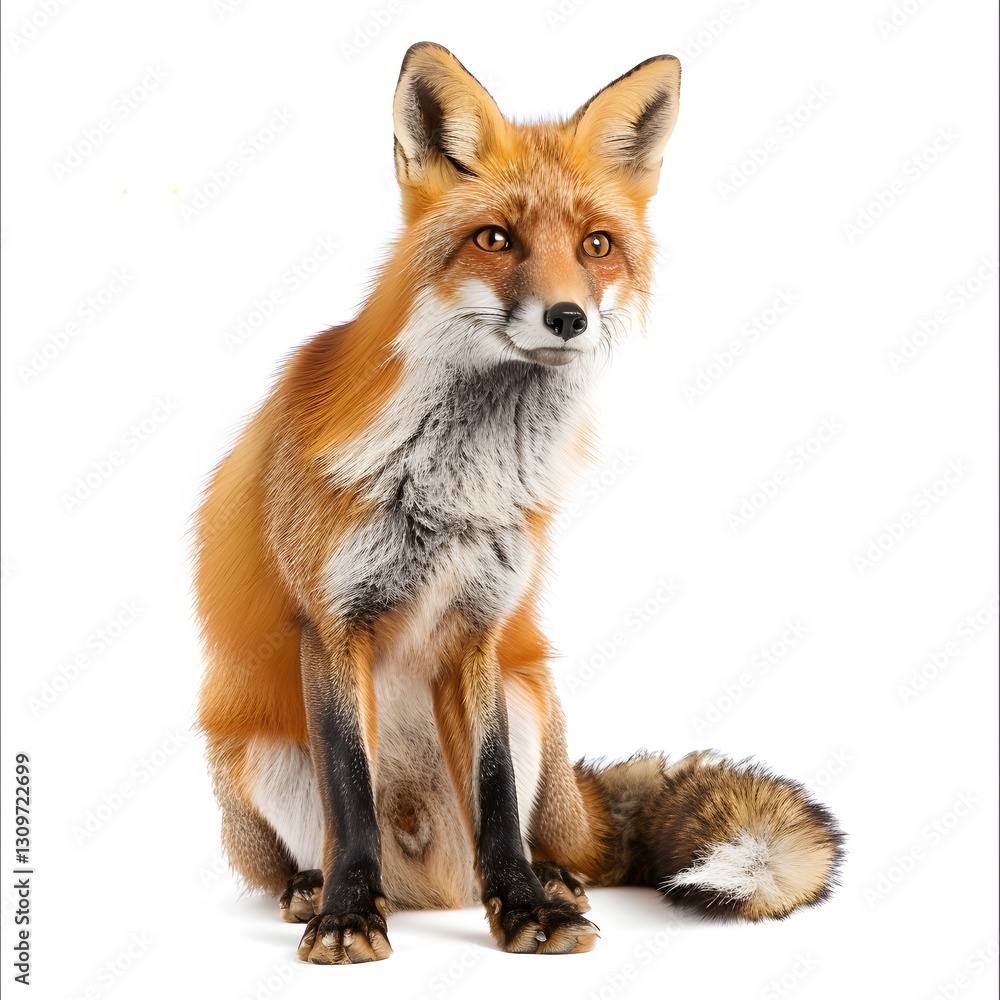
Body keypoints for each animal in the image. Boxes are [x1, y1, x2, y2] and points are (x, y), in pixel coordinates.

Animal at [195, 42, 844, 964]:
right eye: (495, 239)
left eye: (597, 245)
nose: (568, 316)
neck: (456, 483)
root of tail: (429, 880)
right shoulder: (332, 623)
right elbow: (350, 797)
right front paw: (349, 915)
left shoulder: (481, 630)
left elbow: (497, 794)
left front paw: (527, 907)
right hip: (256, 751)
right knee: (323, 844)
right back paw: (314, 889)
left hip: (534, 700)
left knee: (522, 840)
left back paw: (549, 879)